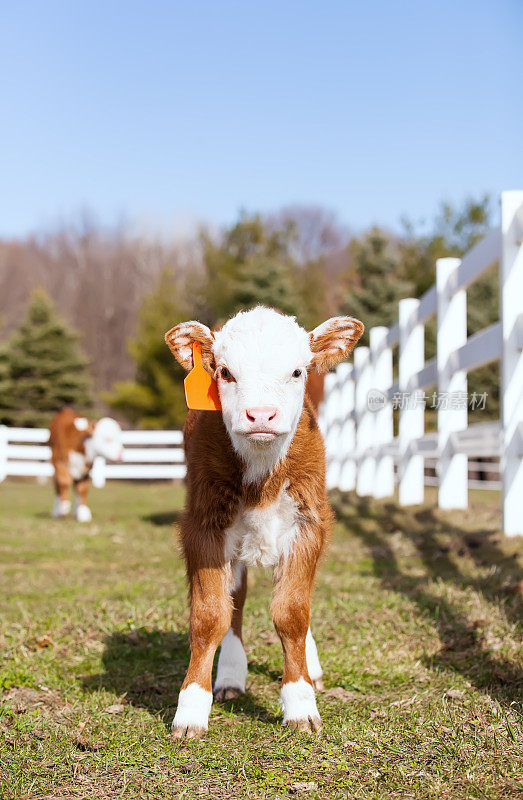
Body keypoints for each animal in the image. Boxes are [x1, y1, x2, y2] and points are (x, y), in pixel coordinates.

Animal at [166, 306, 362, 736]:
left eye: (297, 371)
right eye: (225, 372)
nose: (260, 415)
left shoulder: (308, 524)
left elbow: (292, 612)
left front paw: (300, 702)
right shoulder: (203, 526)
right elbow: (211, 615)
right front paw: (191, 709)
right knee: (235, 602)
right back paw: (230, 676)